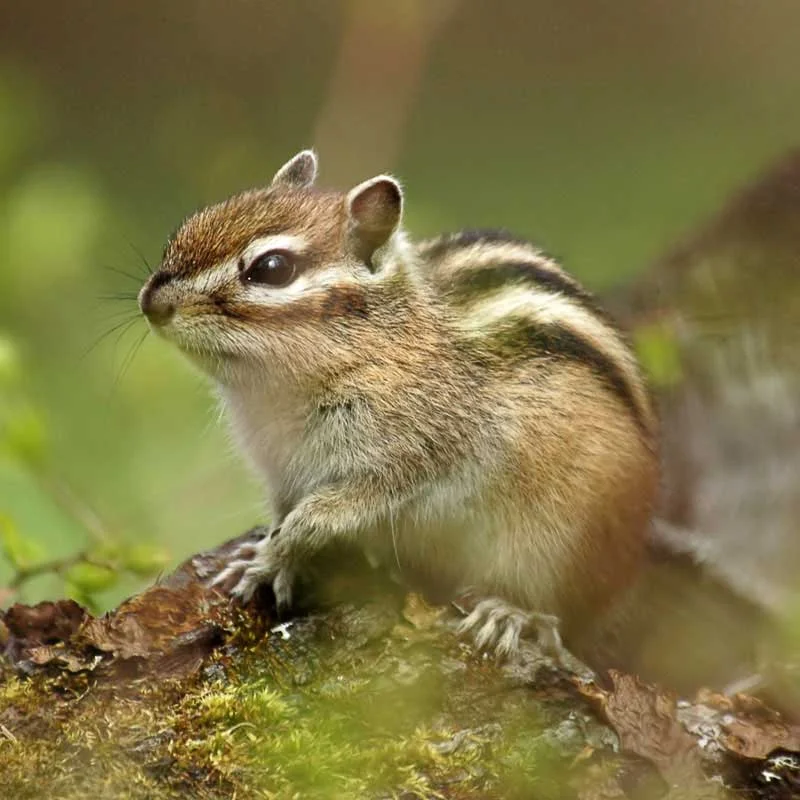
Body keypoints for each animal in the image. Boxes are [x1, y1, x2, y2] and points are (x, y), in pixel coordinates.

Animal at [138, 149, 660, 664]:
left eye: (271, 268)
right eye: (193, 223)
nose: (151, 302)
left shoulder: (414, 449)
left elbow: (323, 513)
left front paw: (275, 552)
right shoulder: (282, 470)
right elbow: (285, 512)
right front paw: (261, 556)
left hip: (559, 542)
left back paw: (510, 612)